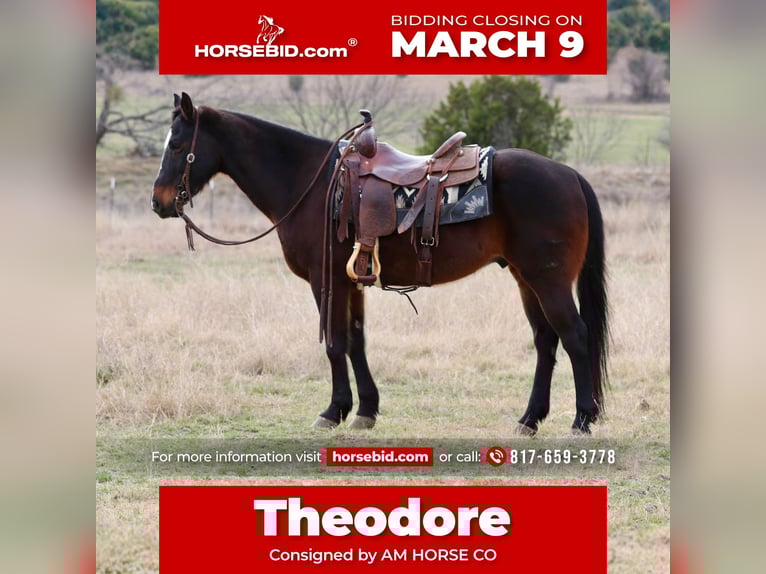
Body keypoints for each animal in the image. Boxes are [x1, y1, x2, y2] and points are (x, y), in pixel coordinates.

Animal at [151, 92, 610, 435]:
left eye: (177, 145)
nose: (158, 202)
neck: (308, 183)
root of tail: (570, 175)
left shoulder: (326, 281)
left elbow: (335, 343)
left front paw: (333, 411)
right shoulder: (352, 281)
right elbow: (357, 341)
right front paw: (365, 410)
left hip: (548, 282)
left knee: (575, 336)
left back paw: (582, 419)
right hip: (525, 279)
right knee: (546, 341)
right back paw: (529, 419)